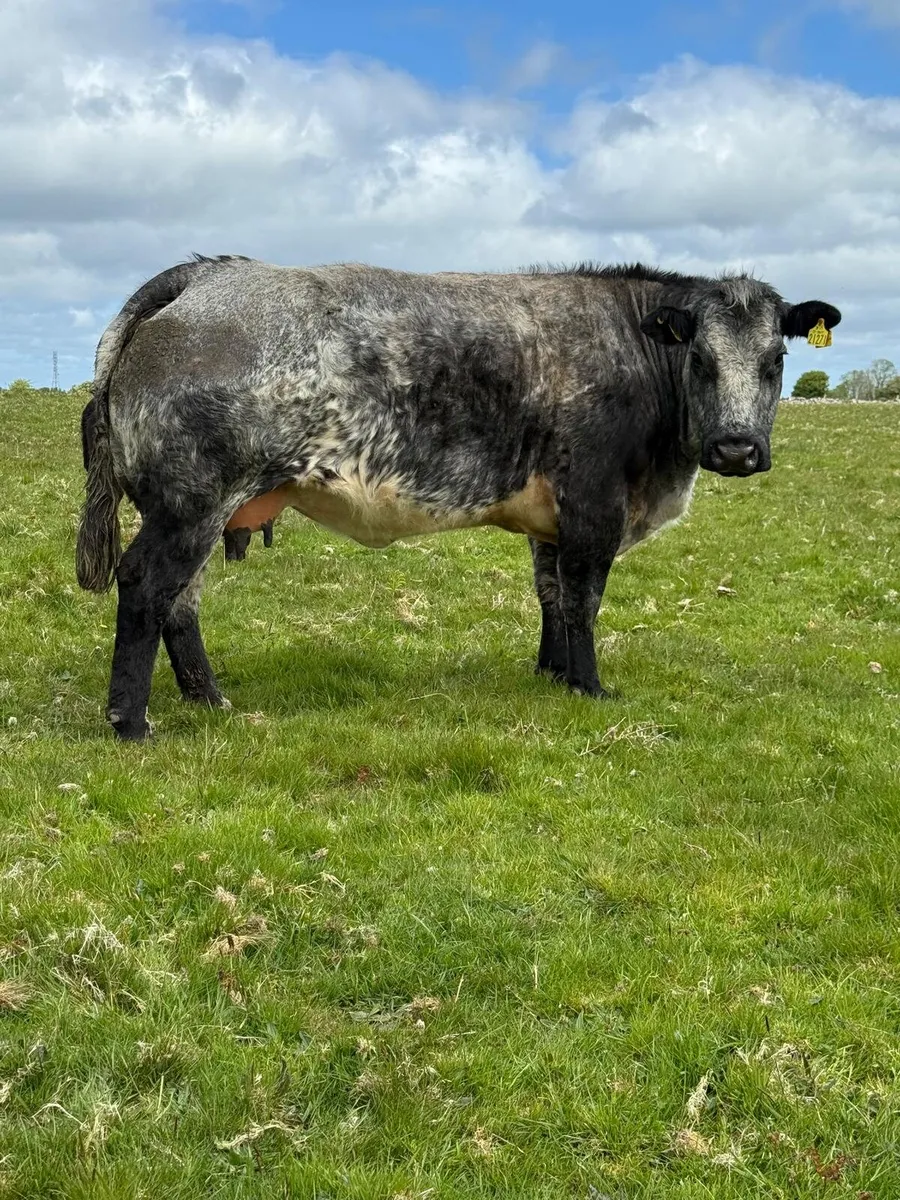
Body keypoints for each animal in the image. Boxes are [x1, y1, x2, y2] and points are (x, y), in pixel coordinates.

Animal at [76, 255, 840, 740]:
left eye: (775, 361)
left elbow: (551, 595)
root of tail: (209, 271)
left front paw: (552, 673)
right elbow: (585, 600)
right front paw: (591, 687)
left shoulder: (550, 516)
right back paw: (131, 723)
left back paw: (209, 699)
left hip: (200, 509)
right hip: (190, 503)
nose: (736, 449)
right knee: (145, 587)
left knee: (181, 604)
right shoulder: (594, 503)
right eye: (701, 359)